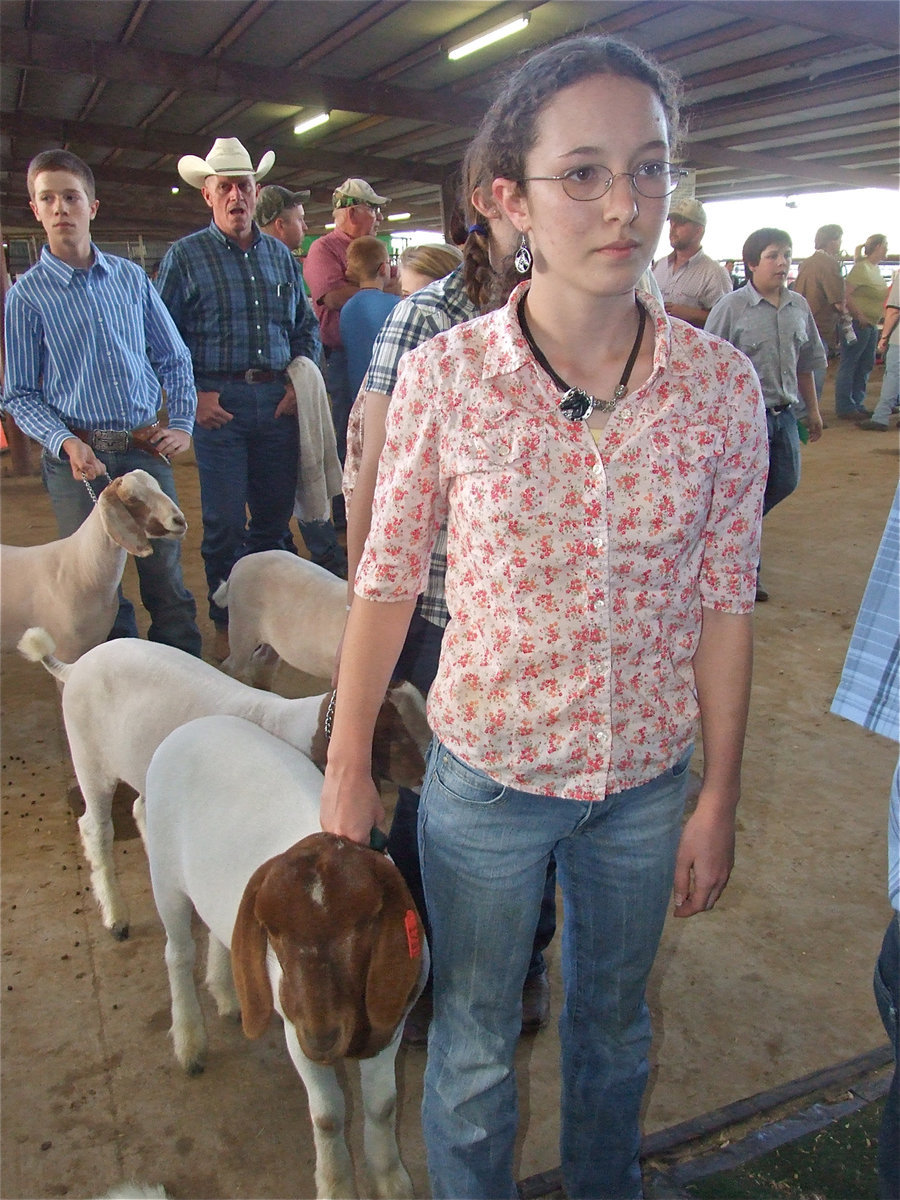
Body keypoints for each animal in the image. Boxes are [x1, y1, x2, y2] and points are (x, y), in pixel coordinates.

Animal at [0, 468, 187, 662]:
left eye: (159, 486)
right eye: (132, 498)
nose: (179, 520)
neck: (82, 567)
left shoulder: (96, 638)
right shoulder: (66, 649)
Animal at [18, 628, 434, 936]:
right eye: (394, 737)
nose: (424, 776)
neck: (295, 729)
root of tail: (74, 666)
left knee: (139, 808)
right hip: (89, 757)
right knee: (96, 828)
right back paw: (116, 916)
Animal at [148, 715, 429, 1195]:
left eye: (365, 923)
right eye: (273, 934)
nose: (322, 1037)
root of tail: (193, 725)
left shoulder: (390, 1024)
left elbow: (384, 1106)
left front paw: (391, 1180)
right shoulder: (294, 1027)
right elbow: (329, 1116)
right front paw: (335, 1185)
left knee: (217, 935)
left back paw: (227, 996)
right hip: (164, 878)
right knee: (178, 955)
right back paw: (189, 1042)